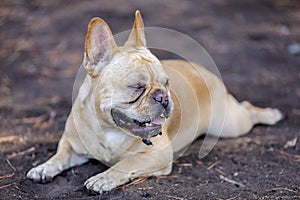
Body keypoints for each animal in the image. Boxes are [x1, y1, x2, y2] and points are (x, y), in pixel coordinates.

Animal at [27, 10, 282, 194]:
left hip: (230, 124)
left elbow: (126, 164)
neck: (109, 129)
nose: (163, 96)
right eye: (137, 87)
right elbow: (60, 155)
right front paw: (44, 167)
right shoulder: (71, 142)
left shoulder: (156, 155)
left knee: (247, 109)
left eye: (166, 83)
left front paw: (102, 178)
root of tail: (204, 70)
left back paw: (271, 114)